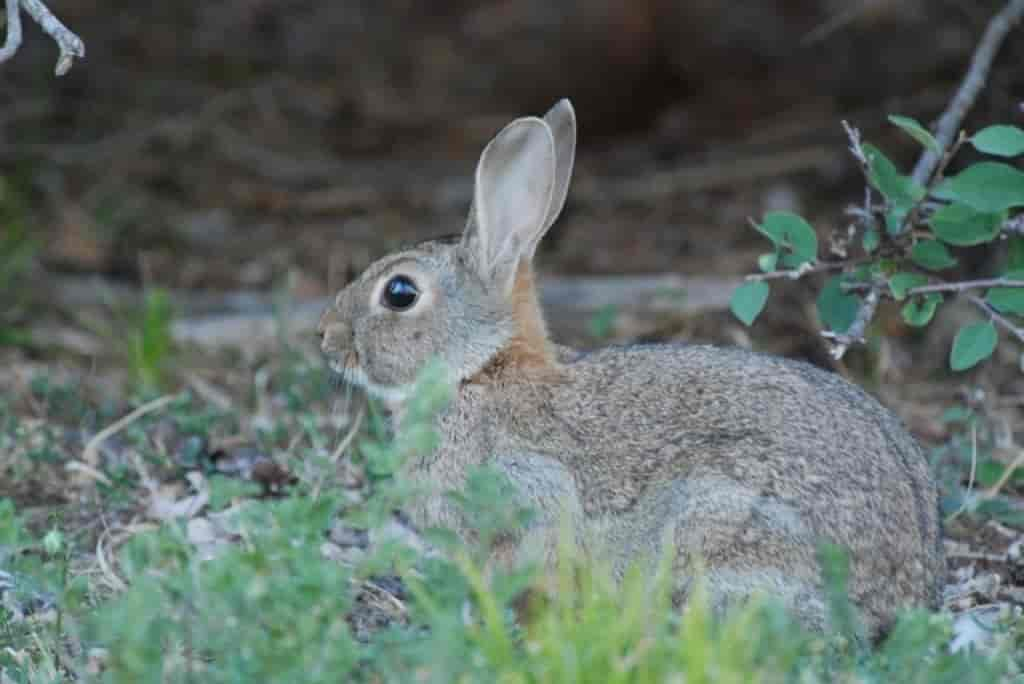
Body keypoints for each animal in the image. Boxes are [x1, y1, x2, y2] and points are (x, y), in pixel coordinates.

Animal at [317, 98, 942, 638]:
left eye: (399, 293)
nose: (325, 337)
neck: (477, 370)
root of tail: (902, 594)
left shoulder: (528, 491)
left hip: (719, 521)